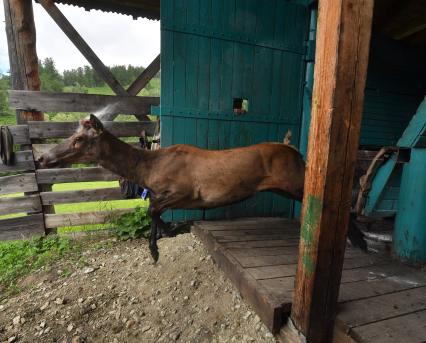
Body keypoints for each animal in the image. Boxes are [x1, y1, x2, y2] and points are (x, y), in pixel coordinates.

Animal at [39, 114, 366, 262]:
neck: (149, 169)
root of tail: (296, 151)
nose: (43, 157)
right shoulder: (166, 194)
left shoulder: (187, 191)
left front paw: (155, 249)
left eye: (79, 140)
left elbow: (152, 209)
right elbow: (154, 211)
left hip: (294, 180)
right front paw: (170, 233)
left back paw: (359, 240)